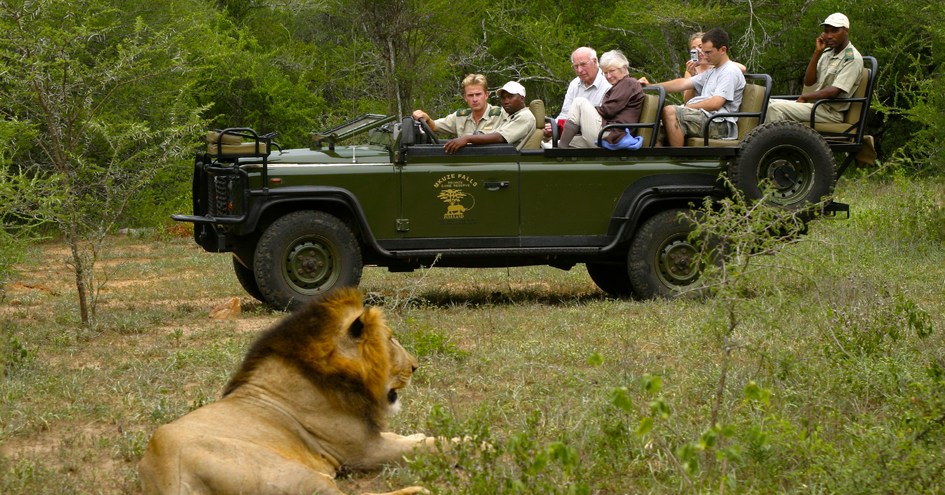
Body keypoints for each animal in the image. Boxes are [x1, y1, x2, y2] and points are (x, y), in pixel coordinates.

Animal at [139, 288, 438, 494]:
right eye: (390, 339)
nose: (415, 366)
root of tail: (166, 476)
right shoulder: (365, 451)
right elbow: (430, 446)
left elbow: (409, 438)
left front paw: (420, 434)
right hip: (289, 473)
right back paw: (419, 490)